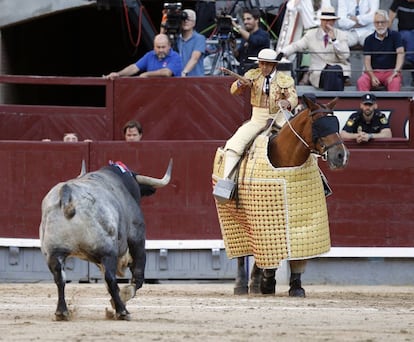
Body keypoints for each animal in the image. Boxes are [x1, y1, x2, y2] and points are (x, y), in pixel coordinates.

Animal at [39, 160, 172, 320]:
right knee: (110, 277)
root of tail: (67, 193)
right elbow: (138, 275)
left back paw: (62, 312)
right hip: (107, 251)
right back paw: (122, 311)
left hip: (53, 252)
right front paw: (124, 296)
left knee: (59, 278)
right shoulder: (137, 237)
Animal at [215, 95, 348, 296]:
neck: (288, 158)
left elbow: (296, 256)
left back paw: (256, 283)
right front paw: (268, 281)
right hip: (233, 216)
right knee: (242, 251)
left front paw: (296, 286)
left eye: (336, 124)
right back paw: (241, 285)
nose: (340, 156)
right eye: (318, 125)